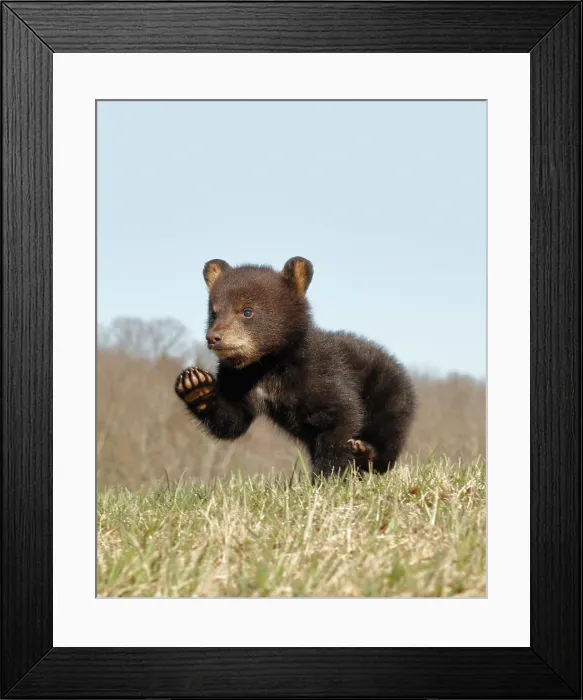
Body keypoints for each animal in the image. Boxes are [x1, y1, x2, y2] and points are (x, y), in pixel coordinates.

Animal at [175, 256, 417, 478]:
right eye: (214, 312)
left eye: (247, 311)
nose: (213, 337)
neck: (268, 366)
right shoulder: (239, 379)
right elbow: (231, 420)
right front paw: (195, 385)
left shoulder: (323, 374)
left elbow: (343, 414)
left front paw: (329, 478)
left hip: (390, 396)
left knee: (388, 434)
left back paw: (367, 453)